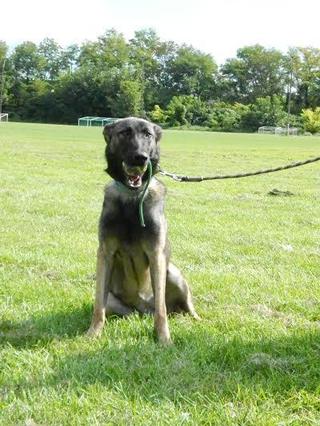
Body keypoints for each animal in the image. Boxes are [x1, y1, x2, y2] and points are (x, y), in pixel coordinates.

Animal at [86, 118, 199, 344]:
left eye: (148, 134)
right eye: (124, 133)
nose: (140, 157)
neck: (132, 197)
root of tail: (142, 310)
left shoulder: (156, 255)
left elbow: (161, 310)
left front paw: (164, 340)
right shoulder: (105, 254)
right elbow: (98, 307)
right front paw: (93, 334)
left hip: (172, 273)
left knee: (183, 307)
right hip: (114, 299)